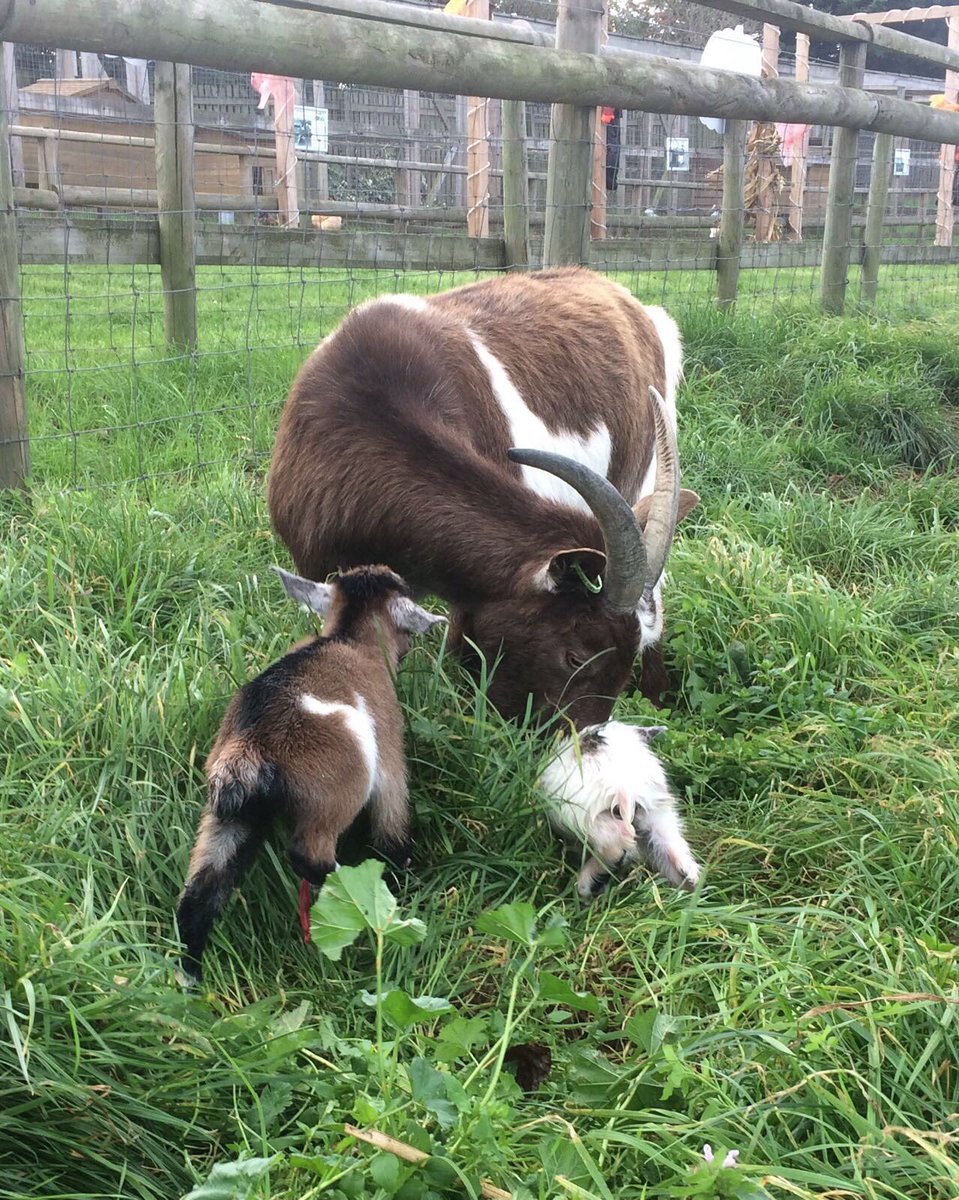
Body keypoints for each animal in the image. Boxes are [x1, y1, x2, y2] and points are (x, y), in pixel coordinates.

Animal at [175, 565, 444, 980]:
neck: (349, 639)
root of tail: (250, 744)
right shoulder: (389, 756)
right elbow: (393, 821)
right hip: (334, 796)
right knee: (310, 856)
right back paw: (357, 891)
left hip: (229, 817)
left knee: (202, 889)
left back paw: (189, 973)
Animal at [537, 721, 701, 898]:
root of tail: (624, 783)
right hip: (657, 813)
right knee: (668, 845)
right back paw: (690, 878)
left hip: (577, 814)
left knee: (618, 838)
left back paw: (584, 884)